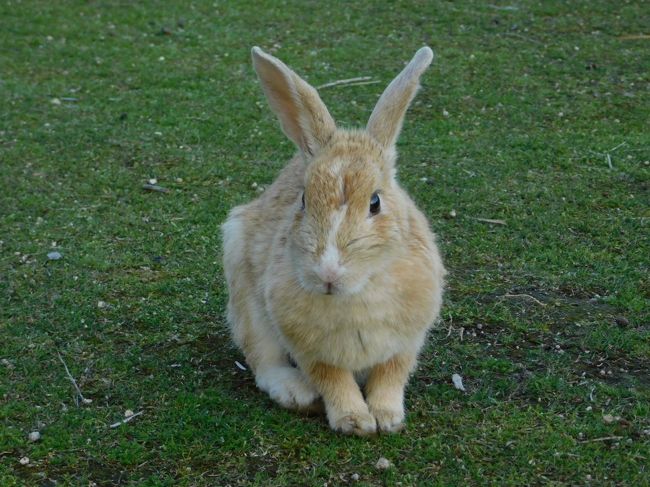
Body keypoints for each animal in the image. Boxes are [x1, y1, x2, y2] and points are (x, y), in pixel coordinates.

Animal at [220, 44, 442, 434]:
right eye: (304, 200)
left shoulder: (408, 340)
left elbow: (391, 374)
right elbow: (332, 379)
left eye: (375, 202)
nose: (327, 273)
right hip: (244, 291)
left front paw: (387, 417)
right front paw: (354, 421)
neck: (357, 292)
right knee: (263, 361)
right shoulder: (310, 348)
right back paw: (297, 393)